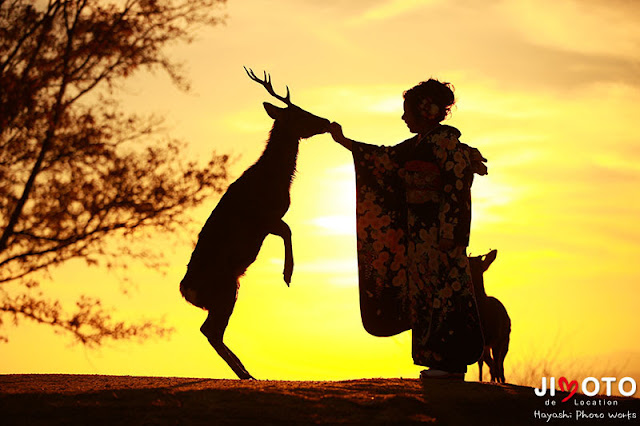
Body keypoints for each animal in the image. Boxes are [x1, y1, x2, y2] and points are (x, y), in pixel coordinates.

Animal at [181, 69, 328, 380]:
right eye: (301, 114)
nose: (325, 121)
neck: (275, 177)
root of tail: (187, 291)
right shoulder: (264, 218)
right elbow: (289, 230)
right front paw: (288, 274)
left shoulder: (269, 221)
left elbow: (288, 230)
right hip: (225, 290)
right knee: (211, 331)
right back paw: (246, 373)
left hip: (226, 292)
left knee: (211, 331)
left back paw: (246, 371)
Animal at [468, 248, 512, 384]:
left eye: (479, 266)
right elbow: (481, 363)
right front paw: (480, 380)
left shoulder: (496, 339)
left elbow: (496, 363)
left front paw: (497, 381)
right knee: (491, 363)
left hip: (505, 339)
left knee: (499, 364)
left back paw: (501, 380)